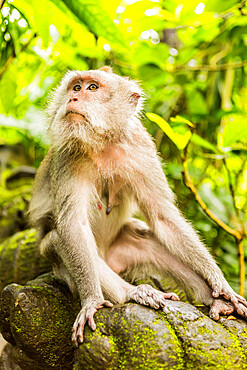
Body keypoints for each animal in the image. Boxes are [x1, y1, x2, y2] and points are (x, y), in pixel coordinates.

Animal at [29, 66, 247, 346]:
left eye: (91, 88)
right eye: (76, 87)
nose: (73, 98)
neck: (103, 142)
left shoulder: (142, 148)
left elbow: (163, 218)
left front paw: (221, 284)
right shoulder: (67, 156)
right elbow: (73, 225)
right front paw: (92, 302)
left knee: (146, 237)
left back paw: (216, 301)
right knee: (59, 242)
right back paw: (133, 293)